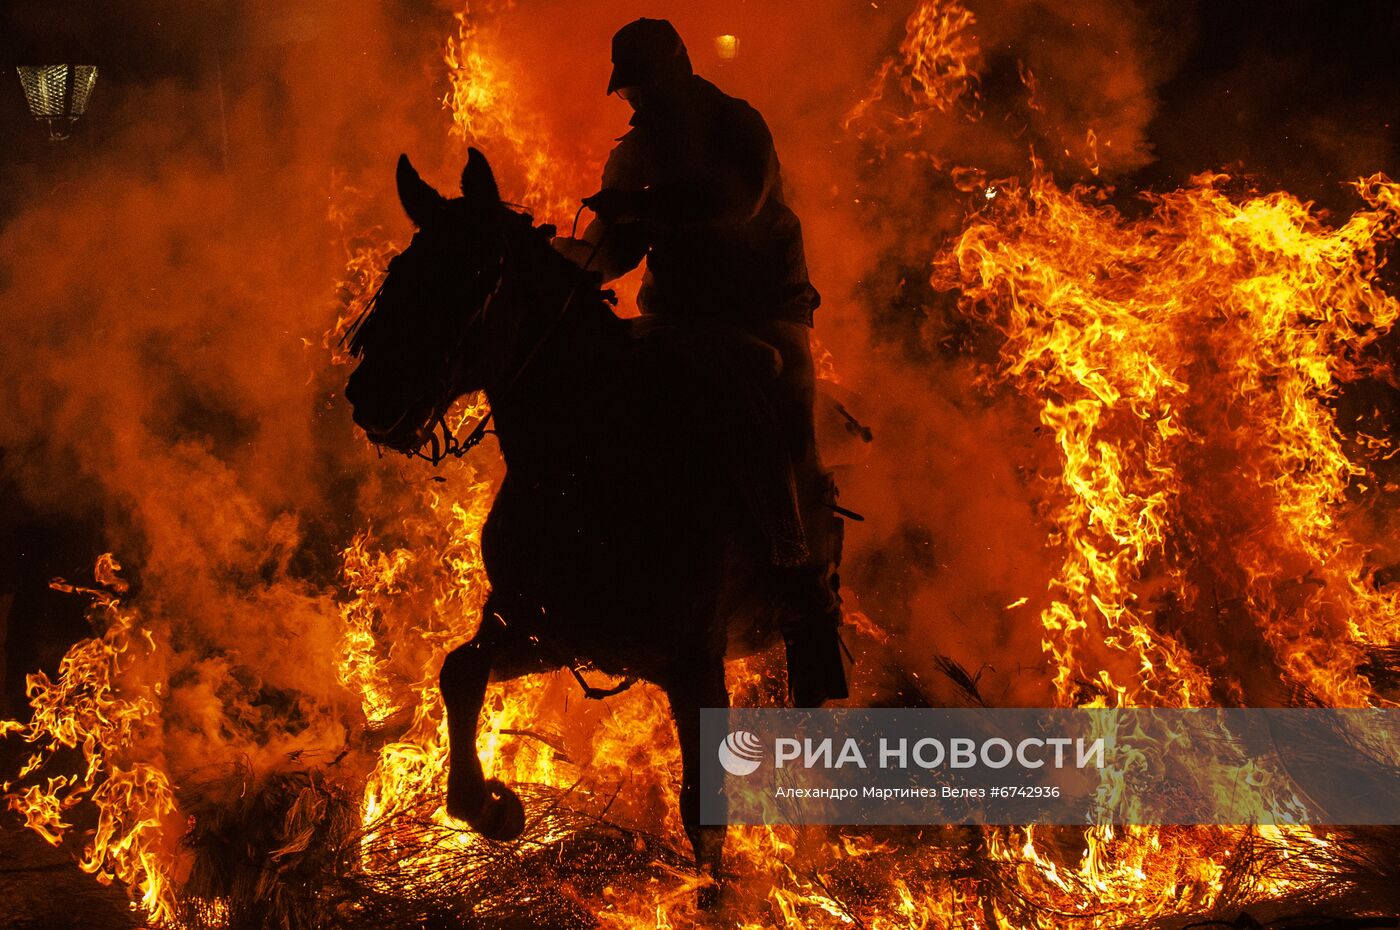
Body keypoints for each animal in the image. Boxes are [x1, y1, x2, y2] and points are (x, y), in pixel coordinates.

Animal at [341, 149, 812, 890]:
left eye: (478, 273)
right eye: (402, 269)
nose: (372, 395)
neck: (594, 465)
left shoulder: (695, 666)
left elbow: (702, 819)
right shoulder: (540, 629)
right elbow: (459, 671)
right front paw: (492, 806)